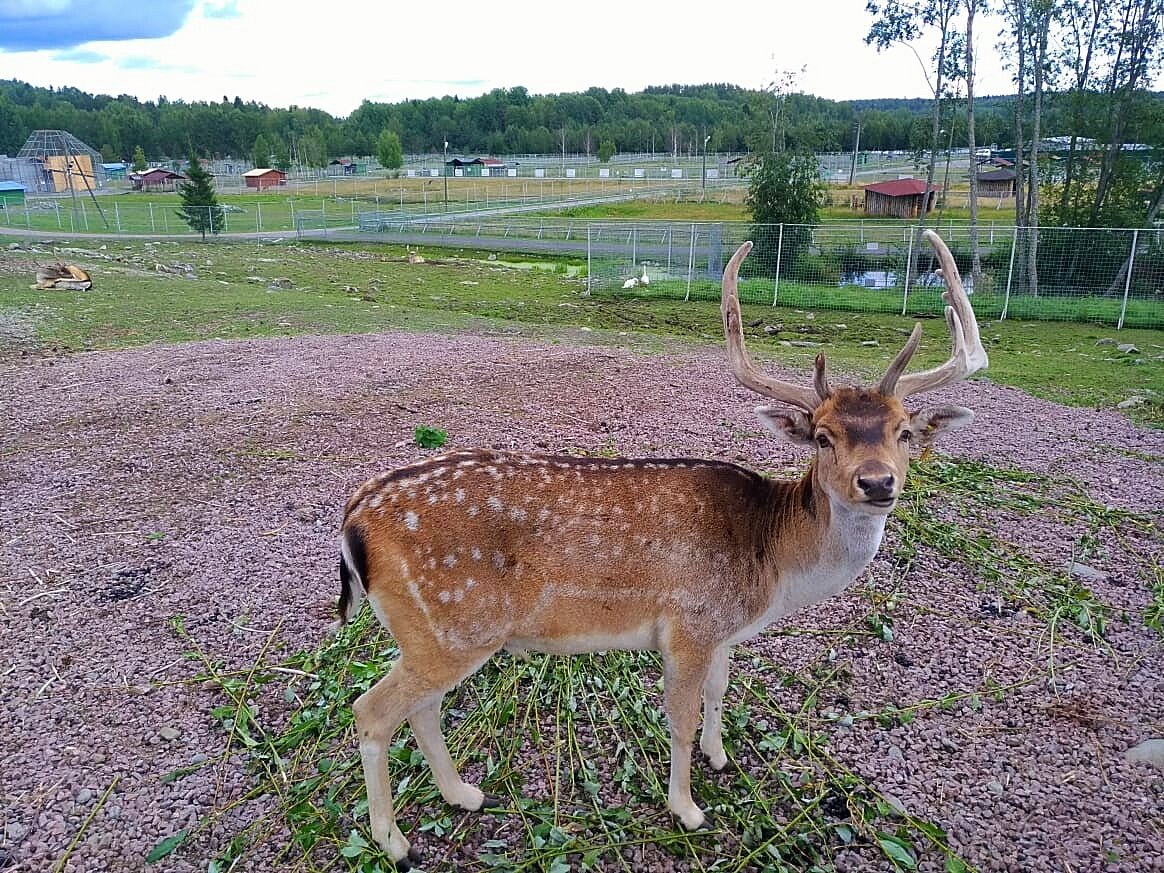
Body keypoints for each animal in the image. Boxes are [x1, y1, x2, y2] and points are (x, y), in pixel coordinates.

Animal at [335, 230, 982, 870]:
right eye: (822, 436)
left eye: (904, 432)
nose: (877, 482)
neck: (771, 566)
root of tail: (353, 518)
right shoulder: (688, 625)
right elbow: (680, 718)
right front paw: (688, 809)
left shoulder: (719, 629)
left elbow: (720, 689)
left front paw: (720, 757)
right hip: (452, 627)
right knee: (372, 711)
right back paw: (393, 841)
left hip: (437, 636)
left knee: (420, 707)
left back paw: (464, 794)